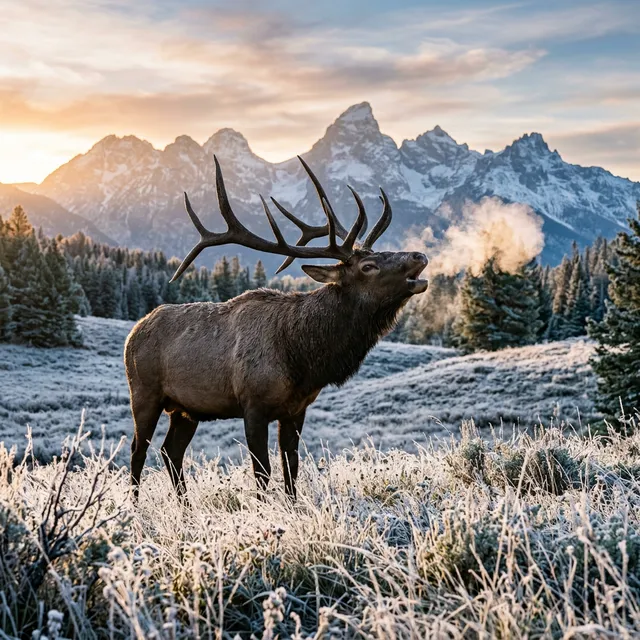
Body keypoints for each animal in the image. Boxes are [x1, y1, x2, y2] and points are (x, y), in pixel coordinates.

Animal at [124, 155, 428, 502]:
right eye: (369, 266)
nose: (419, 255)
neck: (303, 359)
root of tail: (133, 333)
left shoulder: (296, 409)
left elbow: (291, 467)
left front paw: (292, 504)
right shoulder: (253, 404)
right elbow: (263, 471)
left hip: (187, 409)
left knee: (170, 451)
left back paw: (185, 507)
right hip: (144, 392)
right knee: (138, 451)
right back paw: (134, 506)